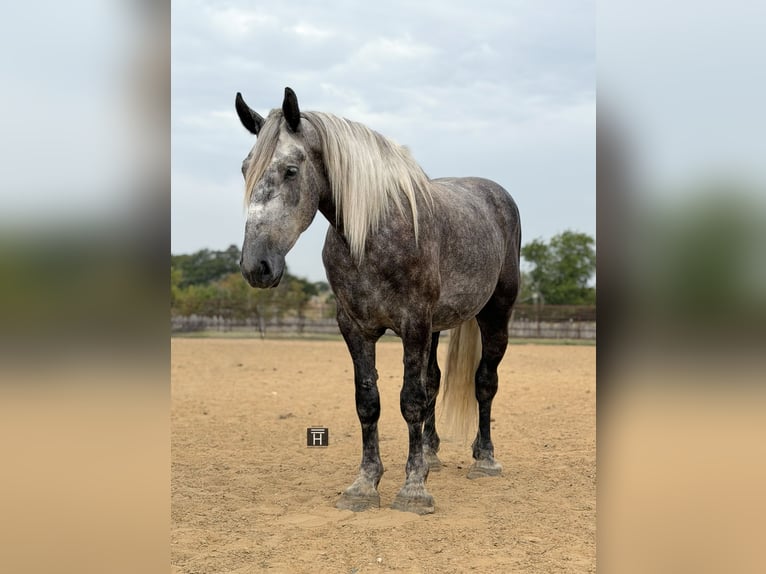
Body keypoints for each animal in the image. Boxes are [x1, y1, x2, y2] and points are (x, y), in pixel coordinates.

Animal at [235, 87, 521, 515]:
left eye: (291, 170)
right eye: (244, 168)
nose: (257, 265)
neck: (372, 232)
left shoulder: (413, 324)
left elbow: (411, 400)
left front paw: (414, 489)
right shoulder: (355, 327)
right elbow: (369, 401)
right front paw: (365, 485)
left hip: (495, 314)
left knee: (485, 382)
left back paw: (484, 459)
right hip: (437, 327)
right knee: (435, 382)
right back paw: (432, 455)